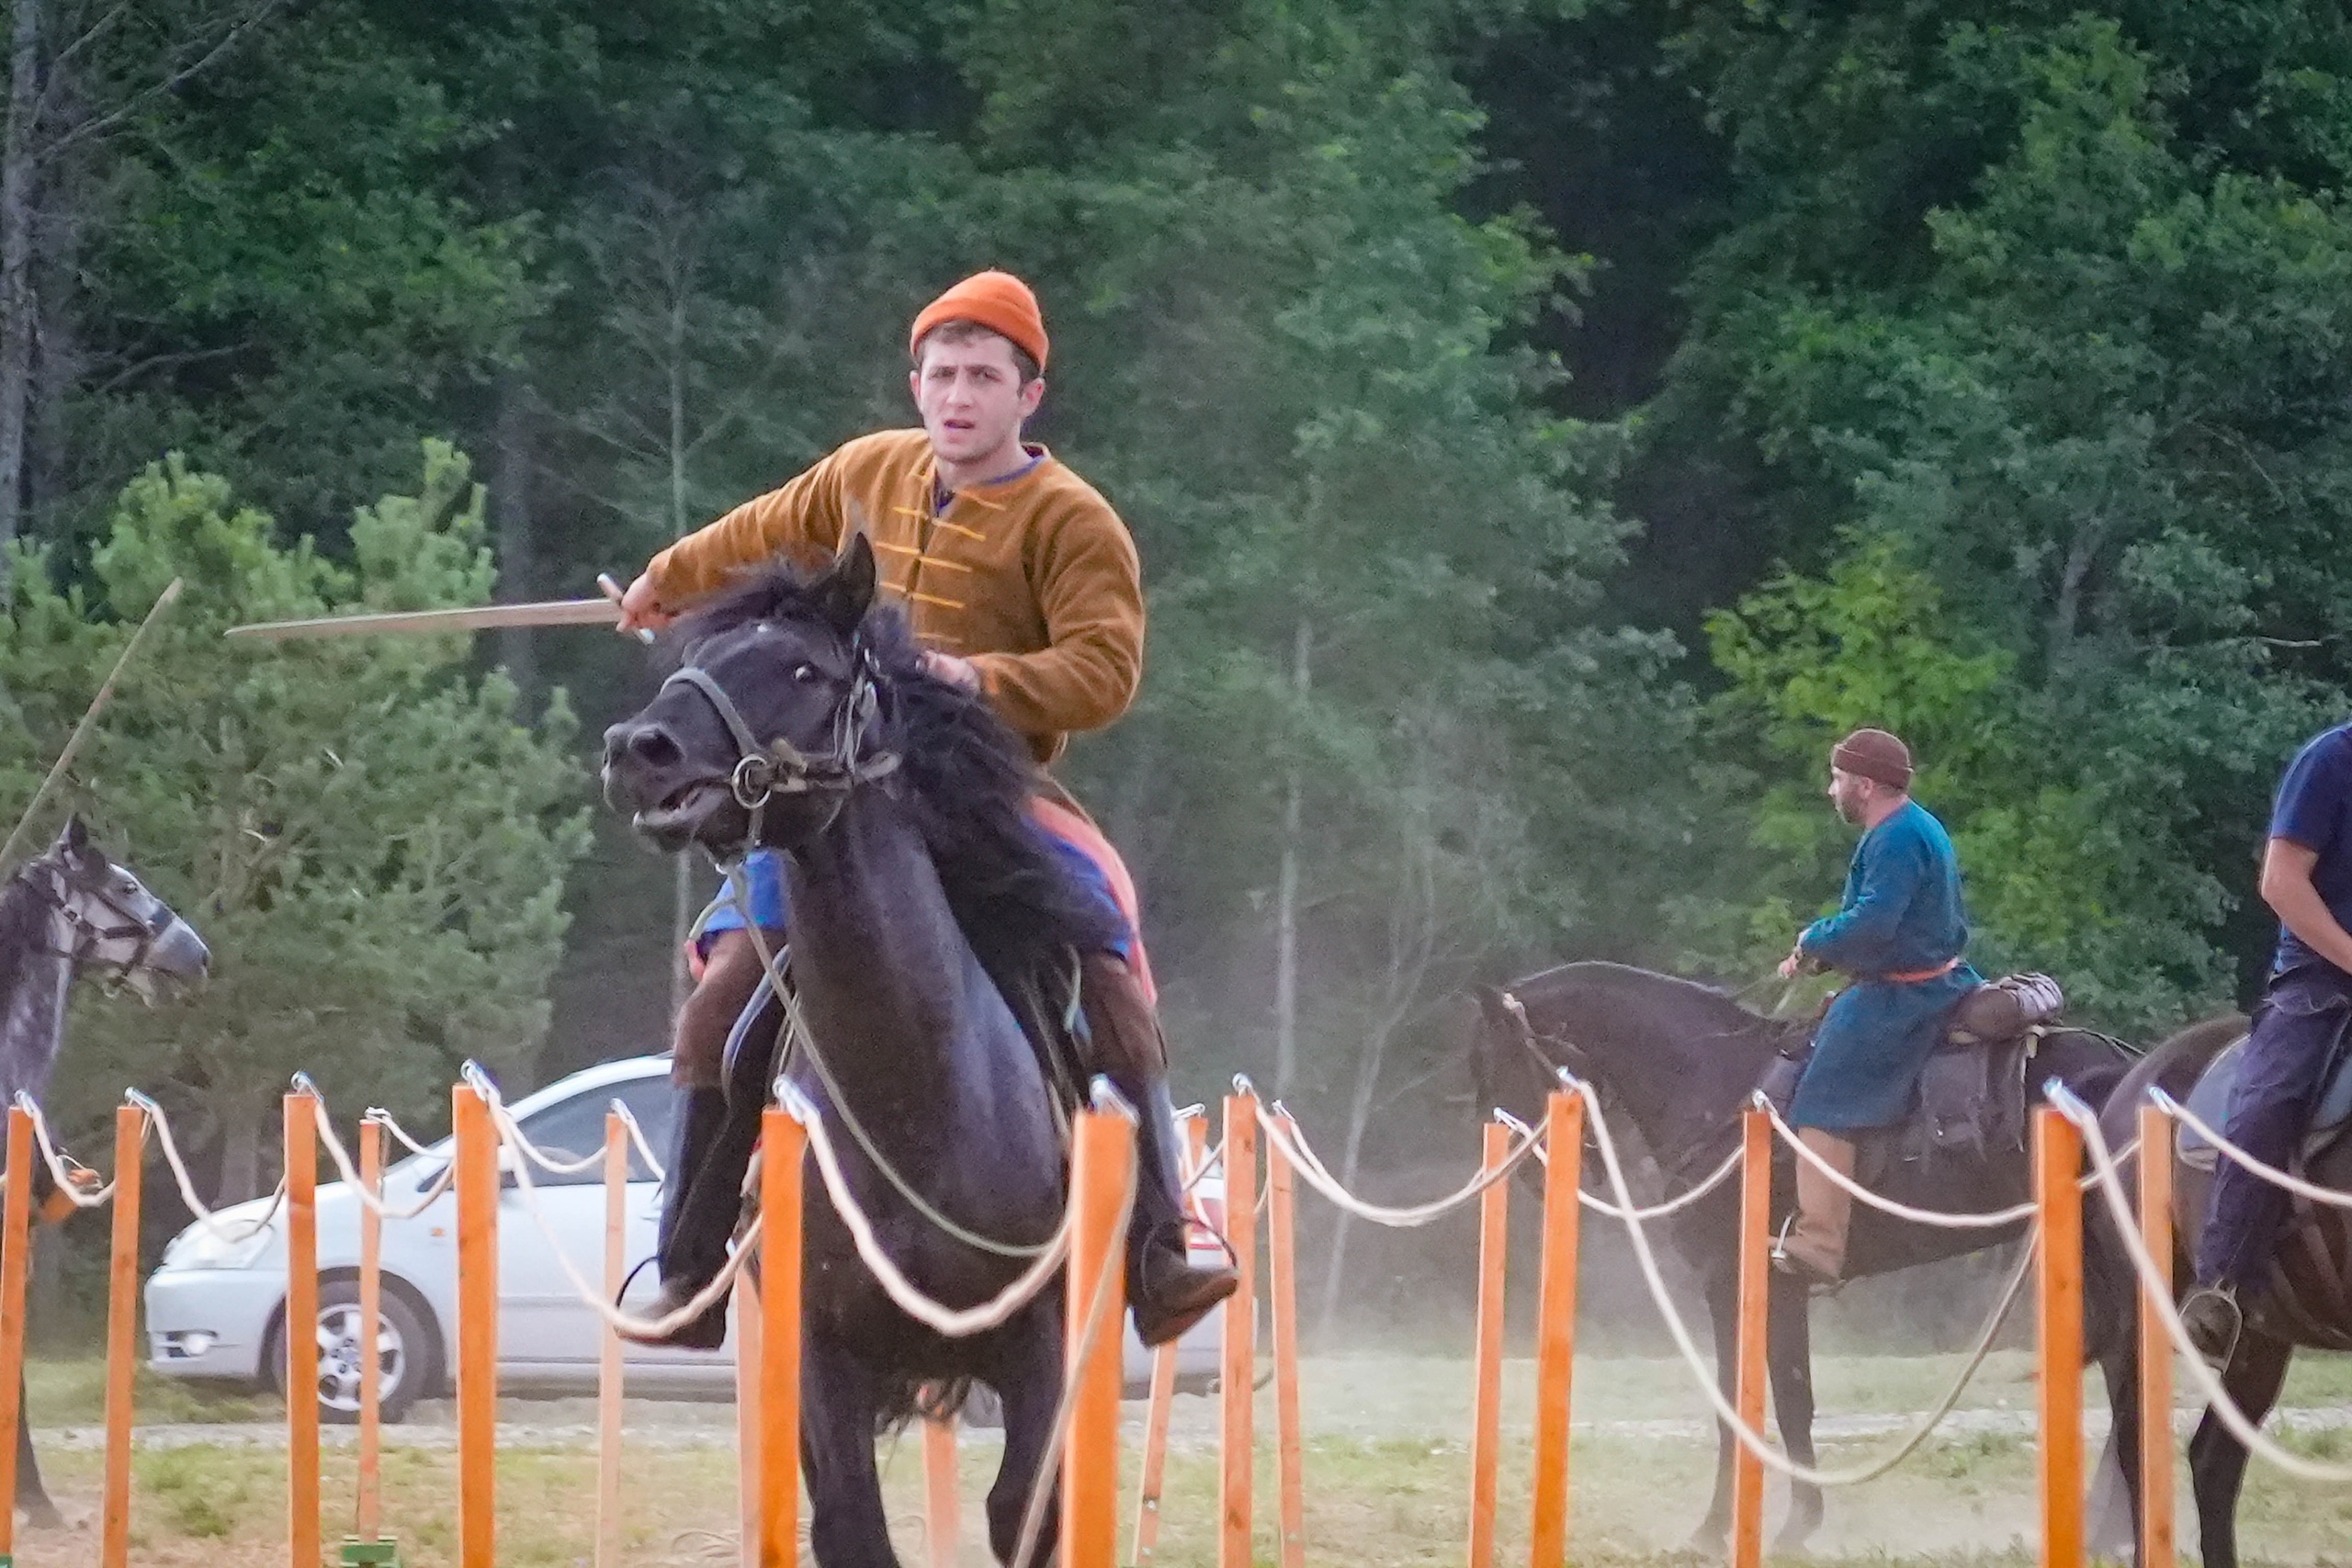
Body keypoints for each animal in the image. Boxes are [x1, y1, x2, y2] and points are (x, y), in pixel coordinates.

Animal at [606, 533, 1119, 1561]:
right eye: (704, 652)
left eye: (803, 669)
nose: (638, 752)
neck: (917, 1100)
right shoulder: (823, 1361)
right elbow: (850, 1522)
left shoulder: (1037, 1348)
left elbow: (1023, 1509)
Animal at [1467, 964, 2154, 1551]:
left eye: (1500, 1062)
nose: (1530, 1176)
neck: (1715, 1082)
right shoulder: (1765, 1286)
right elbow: (1775, 1398)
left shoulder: (1738, 1280)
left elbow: (1763, 1403)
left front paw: (1748, 1529)